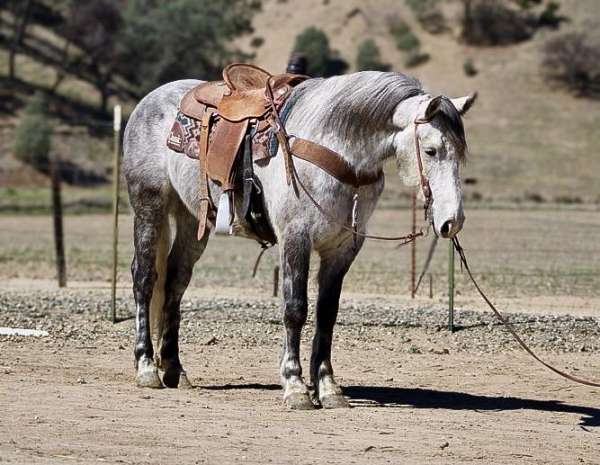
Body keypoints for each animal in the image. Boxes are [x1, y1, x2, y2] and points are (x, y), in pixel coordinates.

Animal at [124, 70, 476, 408]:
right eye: (430, 150)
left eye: (460, 153)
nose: (453, 221)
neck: (337, 149)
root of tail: (150, 100)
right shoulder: (296, 237)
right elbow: (295, 309)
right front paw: (295, 386)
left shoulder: (343, 248)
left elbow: (327, 313)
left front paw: (328, 388)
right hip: (149, 207)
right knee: (145, 278)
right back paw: (146, 368)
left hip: (192, 220)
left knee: (175, 282)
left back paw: (174, 369)